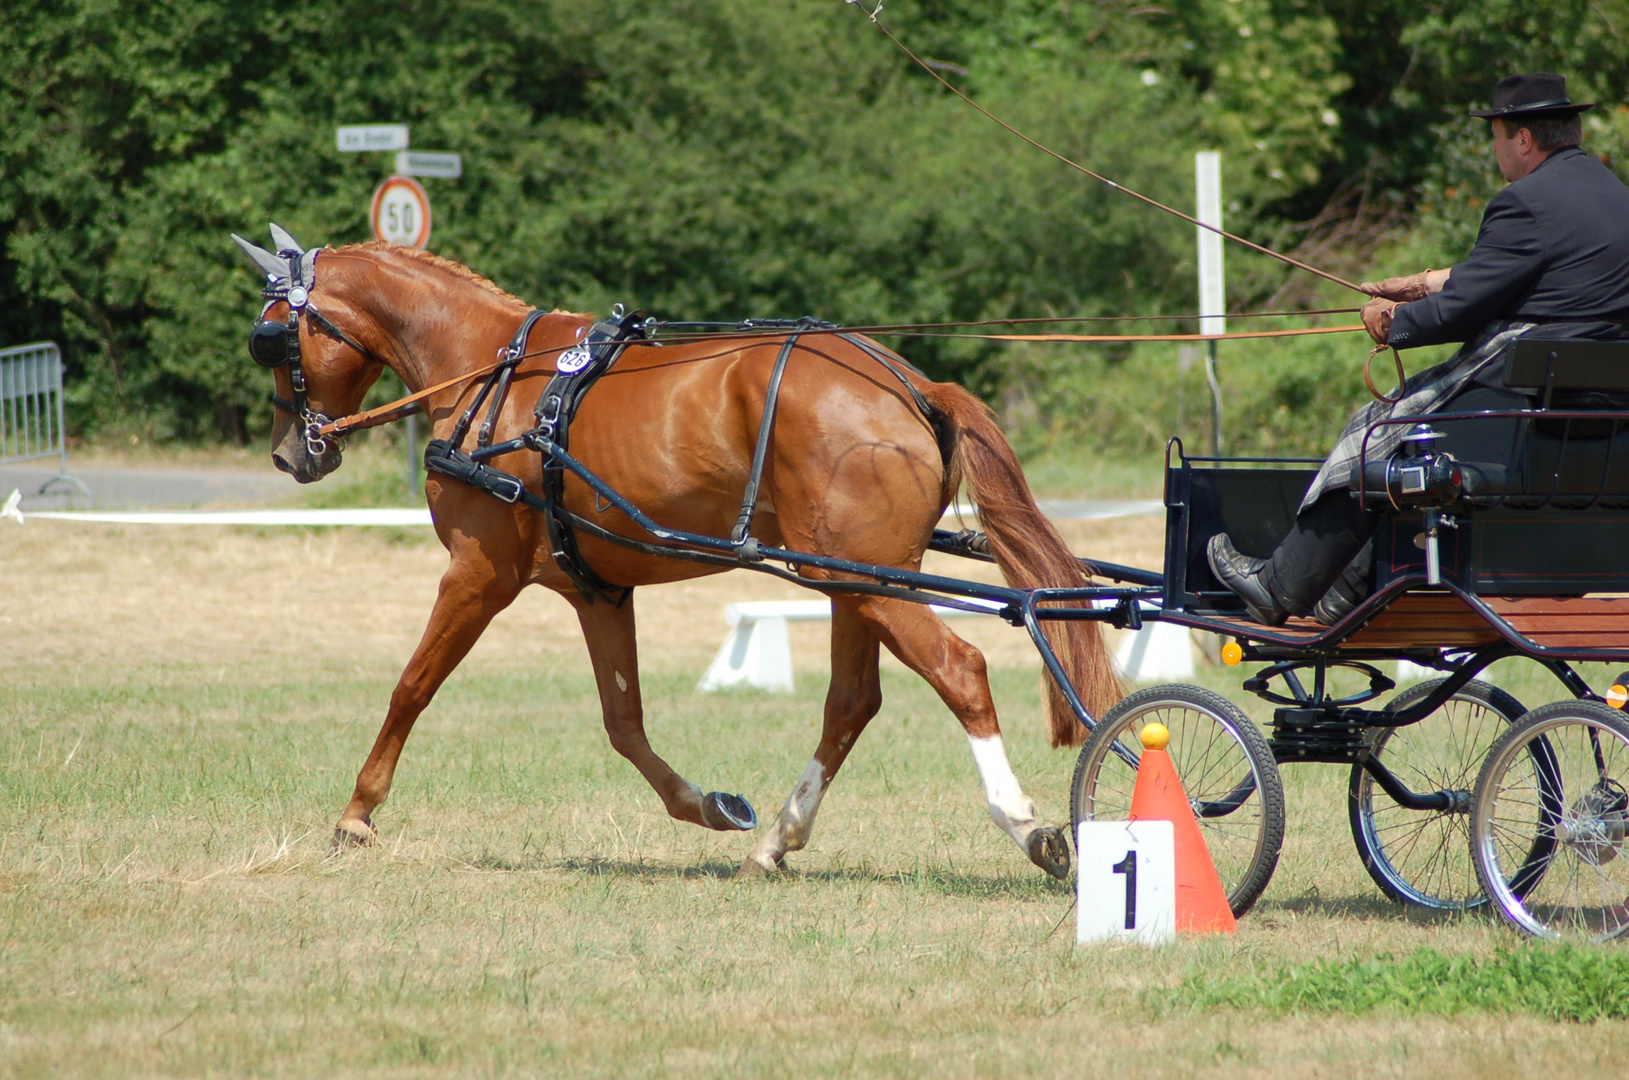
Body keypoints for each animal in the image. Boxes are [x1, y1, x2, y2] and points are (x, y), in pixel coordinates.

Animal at [232, 232, 1120, 886]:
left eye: (272, 336)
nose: (289, 454)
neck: (492, 374)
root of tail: (909, 385)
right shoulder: (596, 589)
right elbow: (623, 723)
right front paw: (710, 807)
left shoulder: (480, 573)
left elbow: (411, 686)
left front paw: (356, 815)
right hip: (852, 581)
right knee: (851, 704)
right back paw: (776, 839)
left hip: (865, 583)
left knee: (959, 670)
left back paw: (1027, 826)